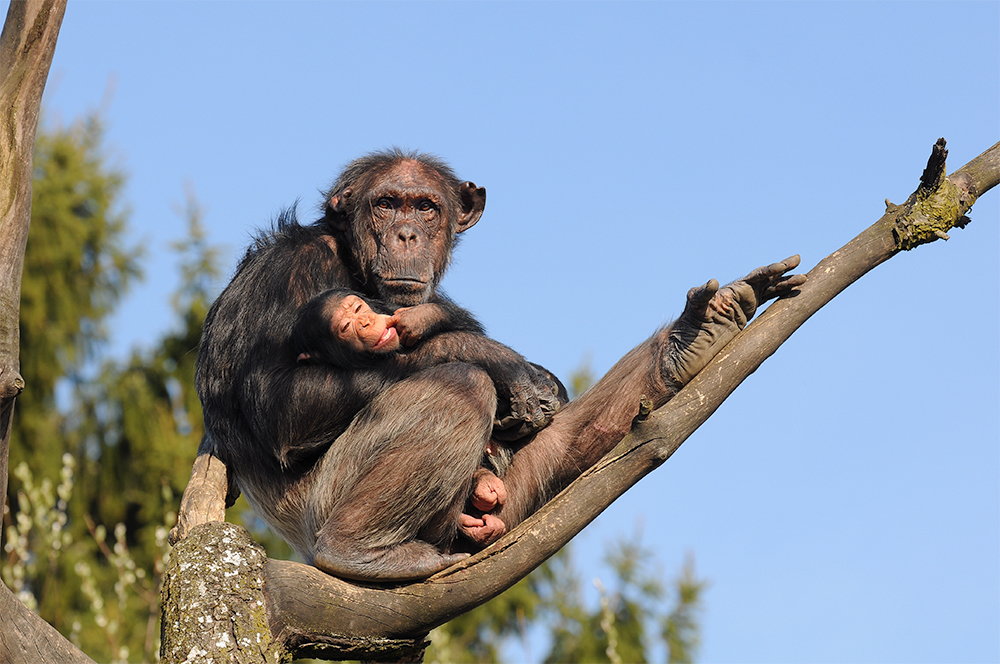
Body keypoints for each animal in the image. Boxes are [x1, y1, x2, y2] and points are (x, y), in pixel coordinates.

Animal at [197, 149, 804, 580]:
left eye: (425, 207)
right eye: (385, 204)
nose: (406, 233)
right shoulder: (294, 271)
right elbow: (276, 400)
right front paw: (503, 363)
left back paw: (691, 341)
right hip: (323, 503)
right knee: (460, 390)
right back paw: (362, 551)